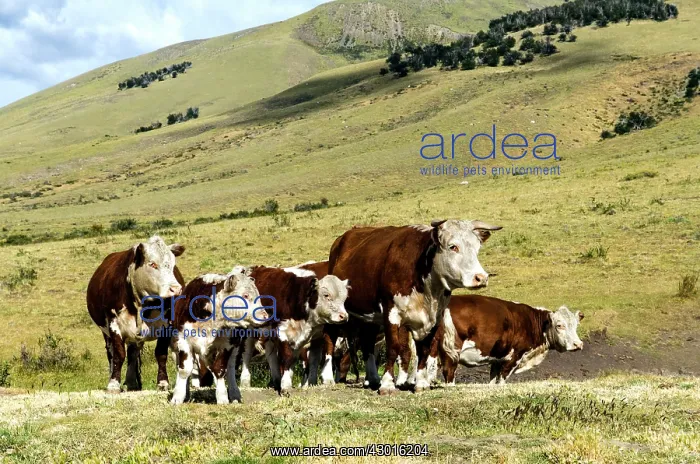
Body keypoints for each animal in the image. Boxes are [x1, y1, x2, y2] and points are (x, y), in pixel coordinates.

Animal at [87, 236, 185, 392]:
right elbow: (119, 355)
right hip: (106, 333)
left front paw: (163, 382)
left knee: (134, 353)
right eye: (152, 264)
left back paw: (132, 382)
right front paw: (113, 384)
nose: (175, 289)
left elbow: (161, 353)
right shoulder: (114, 324)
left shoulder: (167, 325)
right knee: (112, 354)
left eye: (173, 265)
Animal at [170, 266, 269, 404]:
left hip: (235, 347)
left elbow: (220, 369)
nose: (265, 316)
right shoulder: (183, 342)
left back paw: (234, 394)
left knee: (229, 368)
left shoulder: (227, 345)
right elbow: (184, 370)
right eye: (245, 295)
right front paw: (177, 397)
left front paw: (222, 397)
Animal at [327, 219, 502, 394]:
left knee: (367, 344)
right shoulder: (391, 312)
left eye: (477, 248)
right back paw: (329, 379)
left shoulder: (434, 317)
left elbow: (424, 350)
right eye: (453, 246)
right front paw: (387, 384)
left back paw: (373, 379)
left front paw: (421, 383)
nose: (481, 278)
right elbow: (394, 347)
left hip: (369, 317)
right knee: (331, 341)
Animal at [431, 295, 584, 385]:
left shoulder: (497, 359)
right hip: (451, 351)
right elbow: (501, 380)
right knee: (449, 373)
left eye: (576, 325)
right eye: (559, 325)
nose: (578, 344)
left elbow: (492, 381)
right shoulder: (513, 357)